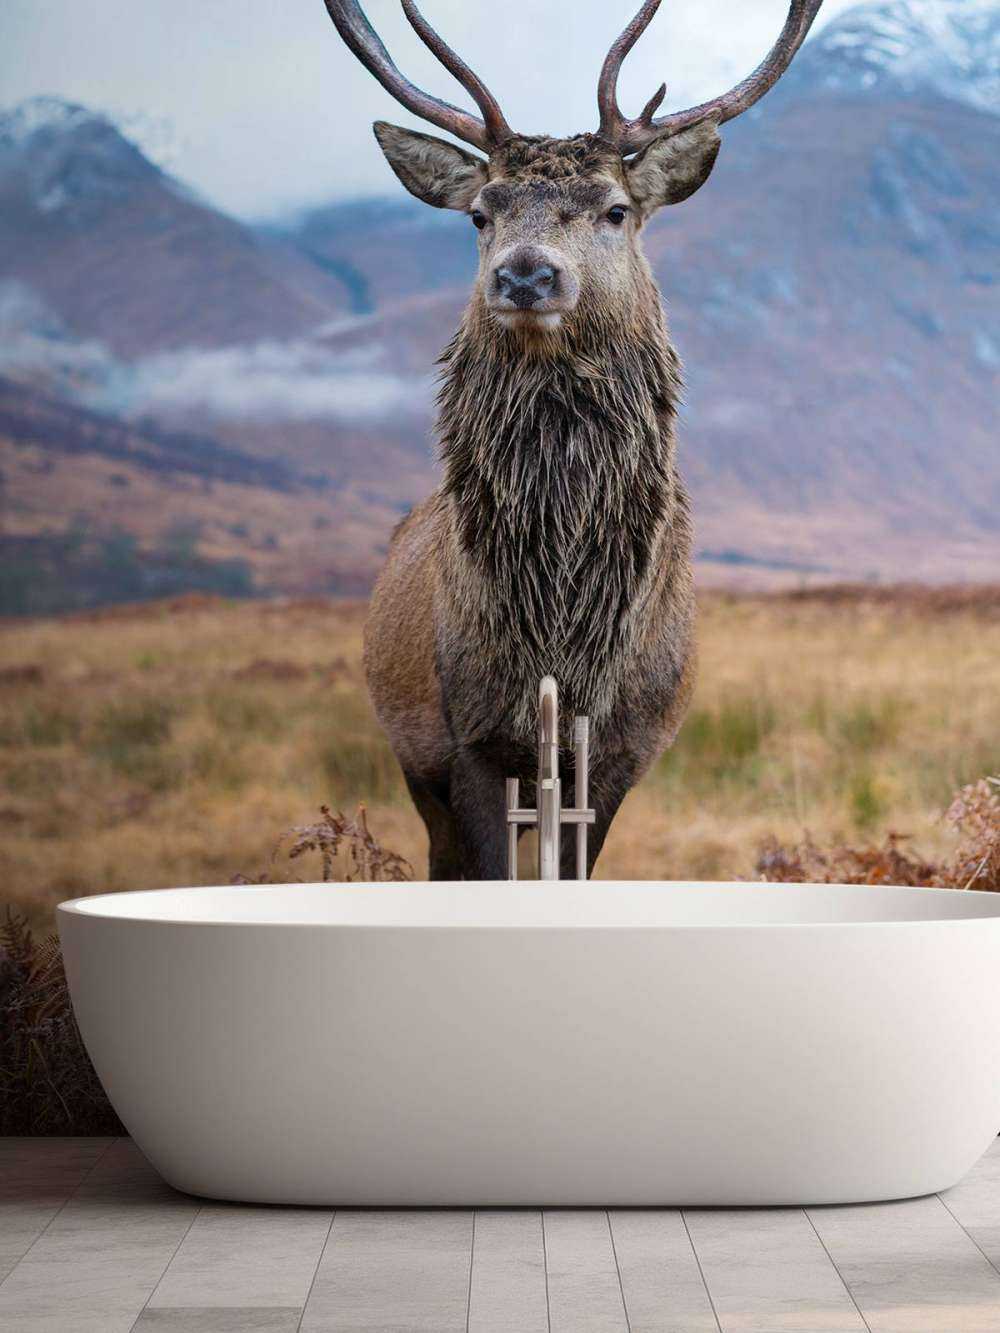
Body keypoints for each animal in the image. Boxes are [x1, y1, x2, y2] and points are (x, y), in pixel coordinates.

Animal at [320, 0, 824, 880]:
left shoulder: (626, 750)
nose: (525, 273)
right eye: (481, 213)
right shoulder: (469, 741)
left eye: (615, 210)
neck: (562, 635)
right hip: (414, 758)